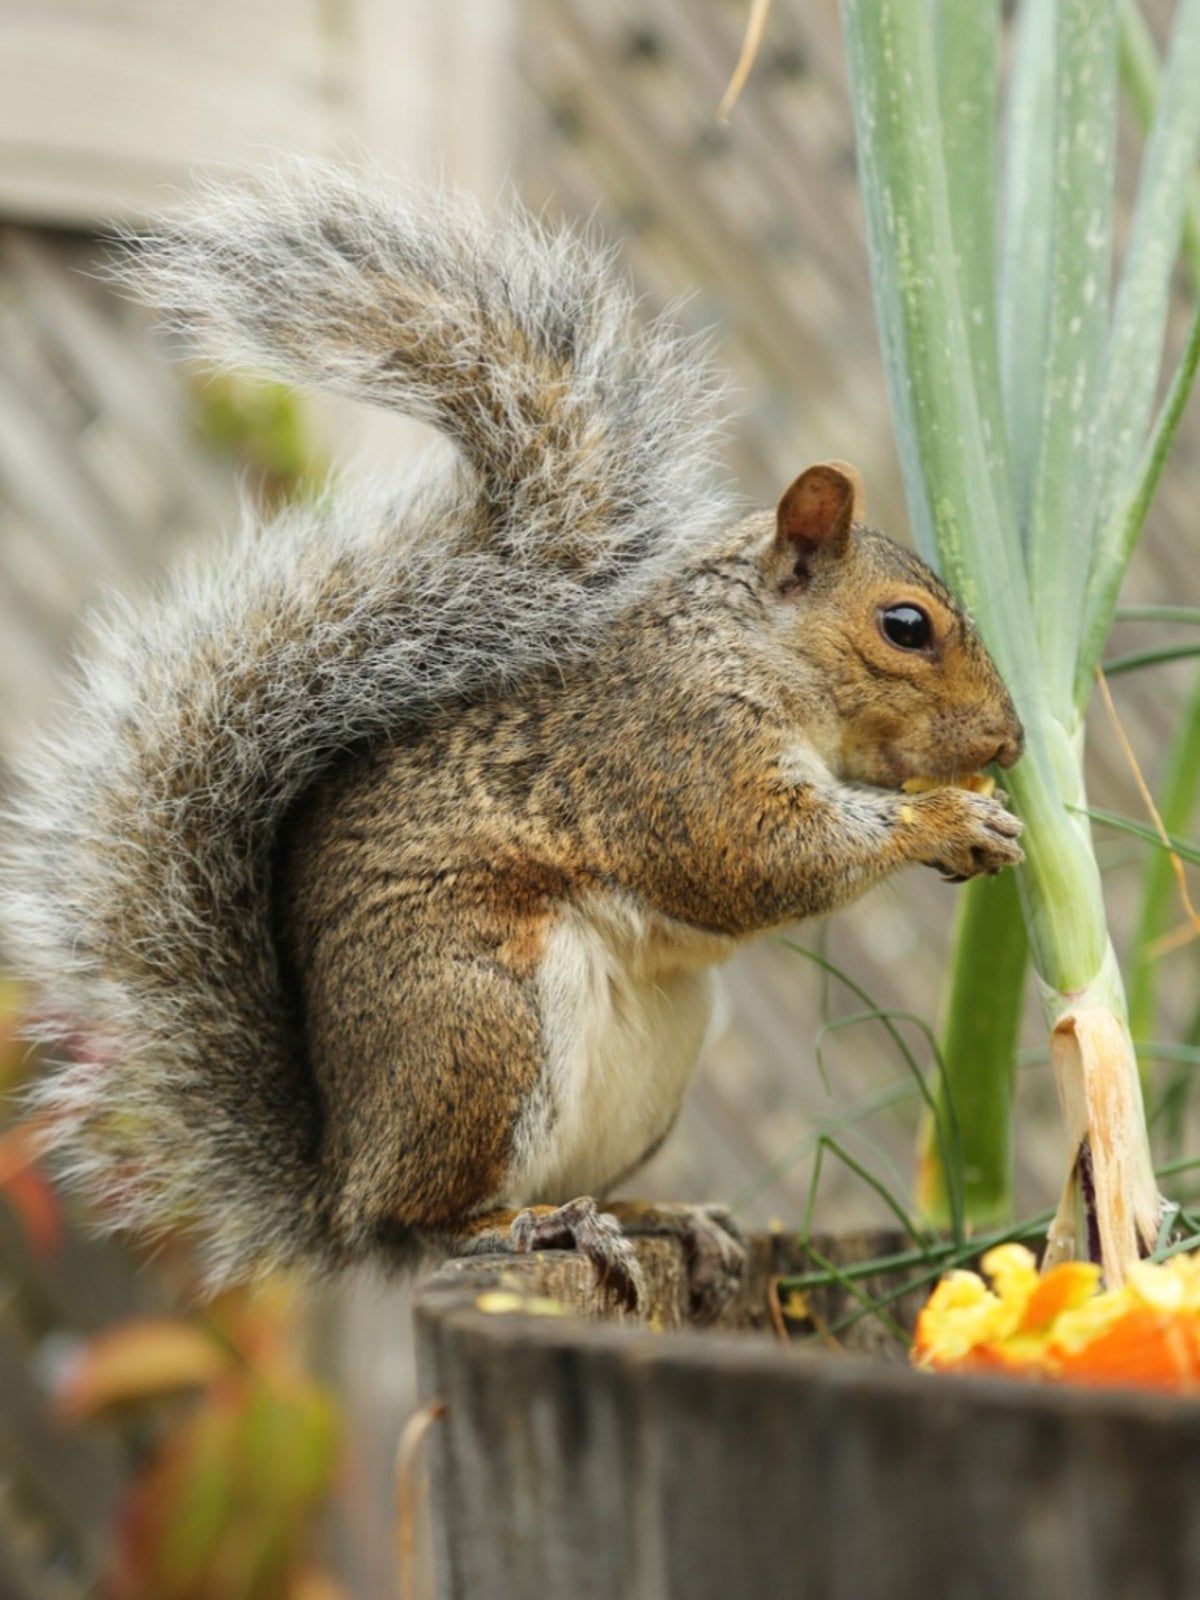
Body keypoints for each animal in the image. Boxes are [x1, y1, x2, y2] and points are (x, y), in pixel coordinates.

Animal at [0, 159, 1024, 1312]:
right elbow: (760, 859)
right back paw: (539, 1224)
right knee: (438, 1217)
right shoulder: (673, 754)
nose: (1014, 743)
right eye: (907, 626)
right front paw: (949, 821)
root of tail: (340, 1179)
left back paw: (659, 1214)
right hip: (482, 1026)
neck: (745, 652)